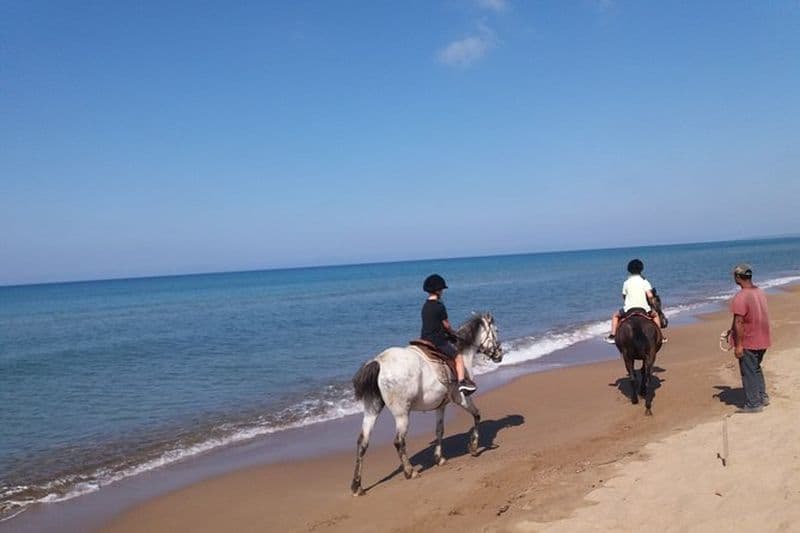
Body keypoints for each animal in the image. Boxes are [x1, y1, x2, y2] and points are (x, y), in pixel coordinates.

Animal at [350, 312, 502, 496]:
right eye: (496, 331)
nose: (500, 354)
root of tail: (379, 362)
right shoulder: (461, 398)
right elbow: (477, 415)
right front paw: (473, 447)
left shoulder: (441, 405)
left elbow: (439, 430)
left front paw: (439, 458)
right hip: (402, 413)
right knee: (398, 441)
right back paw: (410, 471)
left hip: (372, 410)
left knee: (362, 442)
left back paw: (357, 485)